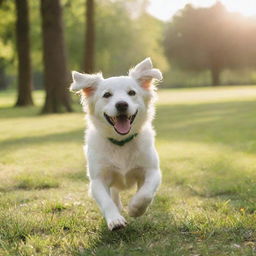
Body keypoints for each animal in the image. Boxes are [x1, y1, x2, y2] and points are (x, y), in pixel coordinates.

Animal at [70, 57, 162, 230]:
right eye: (107, 95)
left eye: (132, 92)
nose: (121, 104)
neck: (121, 143)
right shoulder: (97, 180)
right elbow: (106, 201)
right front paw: (115, 219)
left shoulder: (153, 171)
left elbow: (145, 193)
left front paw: (135, 208)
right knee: (113, 194)